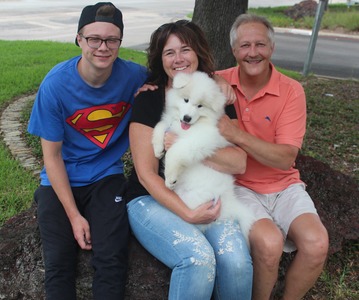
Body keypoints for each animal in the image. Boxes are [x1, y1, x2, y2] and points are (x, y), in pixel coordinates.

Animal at [153, 71, 256, 246]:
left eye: (200, 106)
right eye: (186, 100)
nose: (187, 118)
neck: (188, 128)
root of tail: (230, 203)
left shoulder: (201, 139)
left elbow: (175, 151)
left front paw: (170, 177)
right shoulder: (170, 123)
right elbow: (160, 126)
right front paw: (158, 149)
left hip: (195, 200)